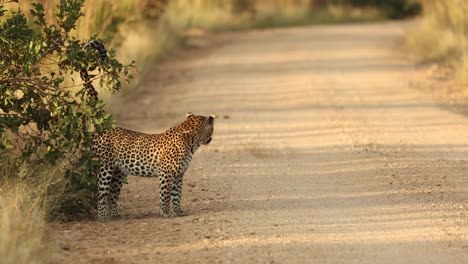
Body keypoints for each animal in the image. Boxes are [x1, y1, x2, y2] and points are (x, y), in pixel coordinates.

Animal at [82, 39, 216, 221]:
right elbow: (165, 195)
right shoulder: (166, 173)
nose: (211, 139)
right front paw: (166, 213)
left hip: (119, 172)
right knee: (102, 192)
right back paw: (103, 216)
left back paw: (116, 214)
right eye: (212, 130)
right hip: (105, 166)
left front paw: (179, 211)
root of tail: (105, 126)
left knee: (112, 194)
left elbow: (177, 195)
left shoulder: (178, 175)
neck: (191, 141)